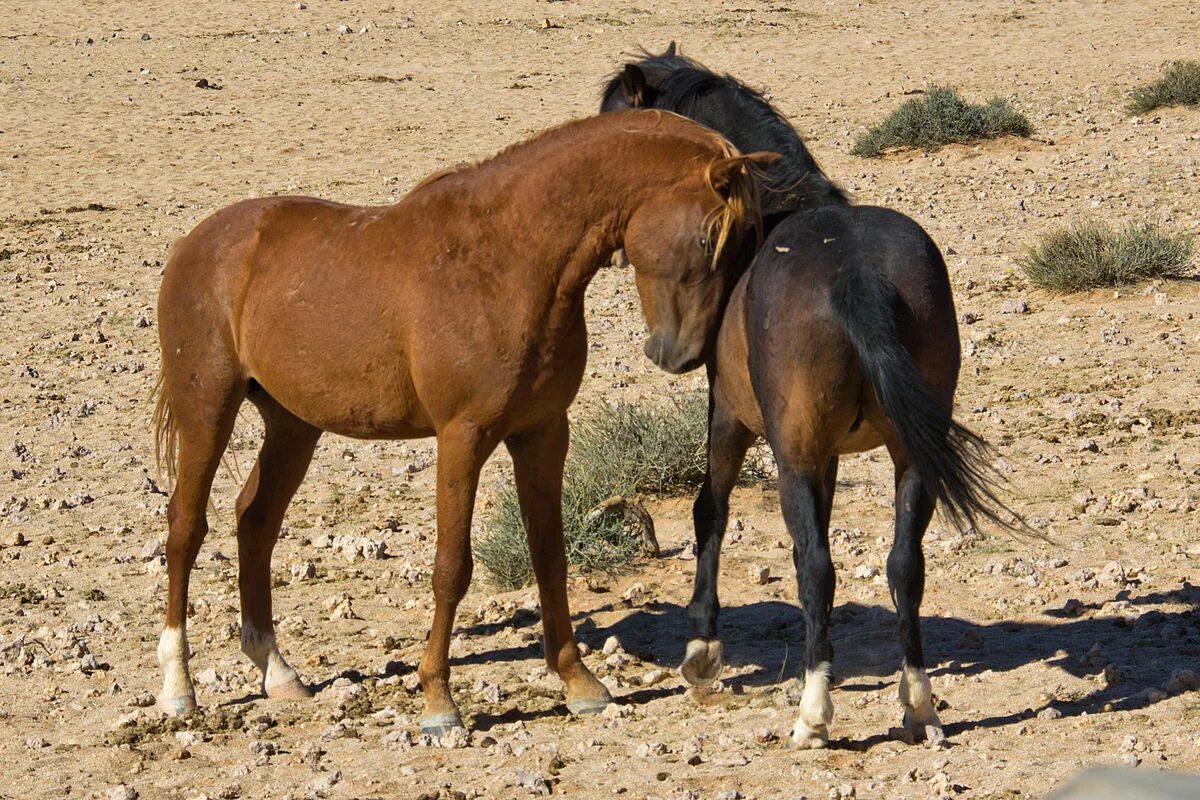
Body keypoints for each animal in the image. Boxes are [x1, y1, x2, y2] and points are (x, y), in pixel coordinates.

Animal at [150, 109, 772, 734]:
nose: (682, 355)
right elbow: (451, 567)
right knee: (185, 528)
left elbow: (550, 555)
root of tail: (196, 242)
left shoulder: (543, 433)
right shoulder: (462, 436)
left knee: (255, 520)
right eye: (708, 237)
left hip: (293, 425)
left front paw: (578, 681)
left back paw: (277, 671)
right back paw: (178, 687)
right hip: (207, 409)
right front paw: (438, 701)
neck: (506, 261)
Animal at [604, 48, 1027, 753]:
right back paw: (919, 708)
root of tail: (854, 270)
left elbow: (709, 512)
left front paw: (702, 653)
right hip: (908, 457)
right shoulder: (830, 453)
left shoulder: (733, 420)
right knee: (903, 565)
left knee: (815, 567)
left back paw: (813, 714)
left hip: (793, 455)